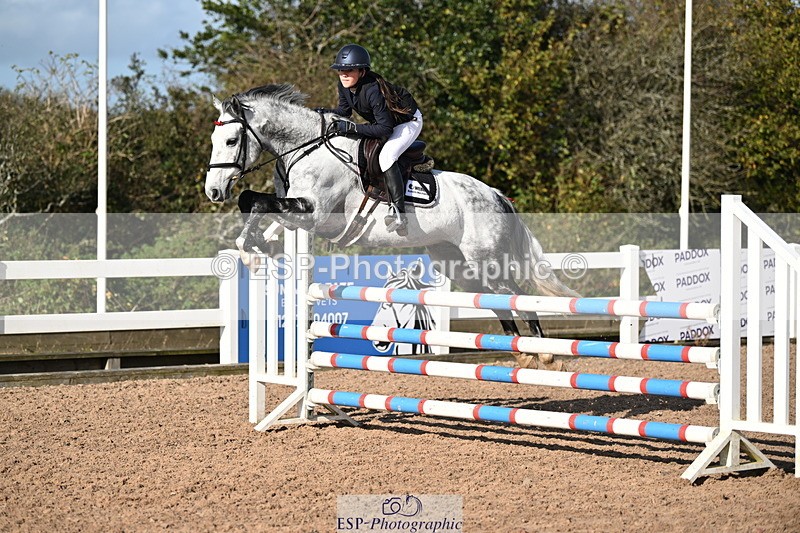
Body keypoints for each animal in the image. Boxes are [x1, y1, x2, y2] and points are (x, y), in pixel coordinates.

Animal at [204, 83, 579, 369]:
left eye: (231, 141)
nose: (213, 191)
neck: (306, 150)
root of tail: (497, 196)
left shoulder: (316, 215)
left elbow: (255, 201)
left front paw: (252, 253)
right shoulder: (297, 212)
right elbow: (252, 203)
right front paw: (258, 247)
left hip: (487, 259)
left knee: (517, 294)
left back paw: (546, 354)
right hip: (458, 264)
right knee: (497, 298)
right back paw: (524, 354)